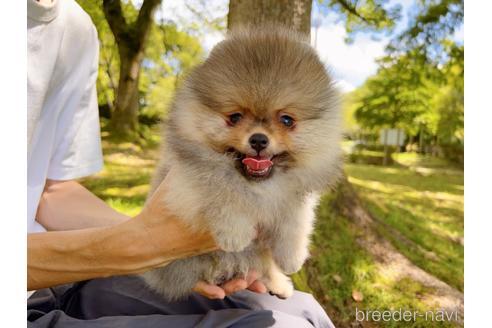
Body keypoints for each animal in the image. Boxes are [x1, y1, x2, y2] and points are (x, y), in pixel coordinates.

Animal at [142, 26, 342, 302]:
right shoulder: (186, 178)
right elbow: (222, 192)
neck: (259, 185)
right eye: (235, 117)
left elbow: (295, 222)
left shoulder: (296, 197)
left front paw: (292, 257)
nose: (258, 139)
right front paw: (234, 234)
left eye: (287, 120)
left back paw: (279, 283)